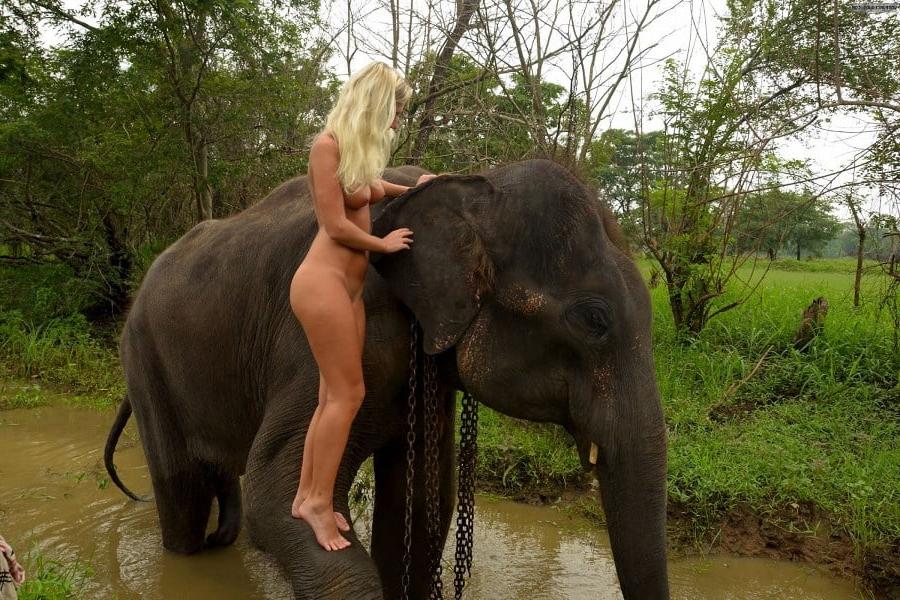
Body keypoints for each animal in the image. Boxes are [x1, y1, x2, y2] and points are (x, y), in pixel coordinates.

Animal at [104, 158, 669, 599]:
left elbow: (422, 503)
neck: (475, 183)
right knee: (180, 486)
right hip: (142, 356)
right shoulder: (329, 337)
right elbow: (279, 490)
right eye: (593, 320)